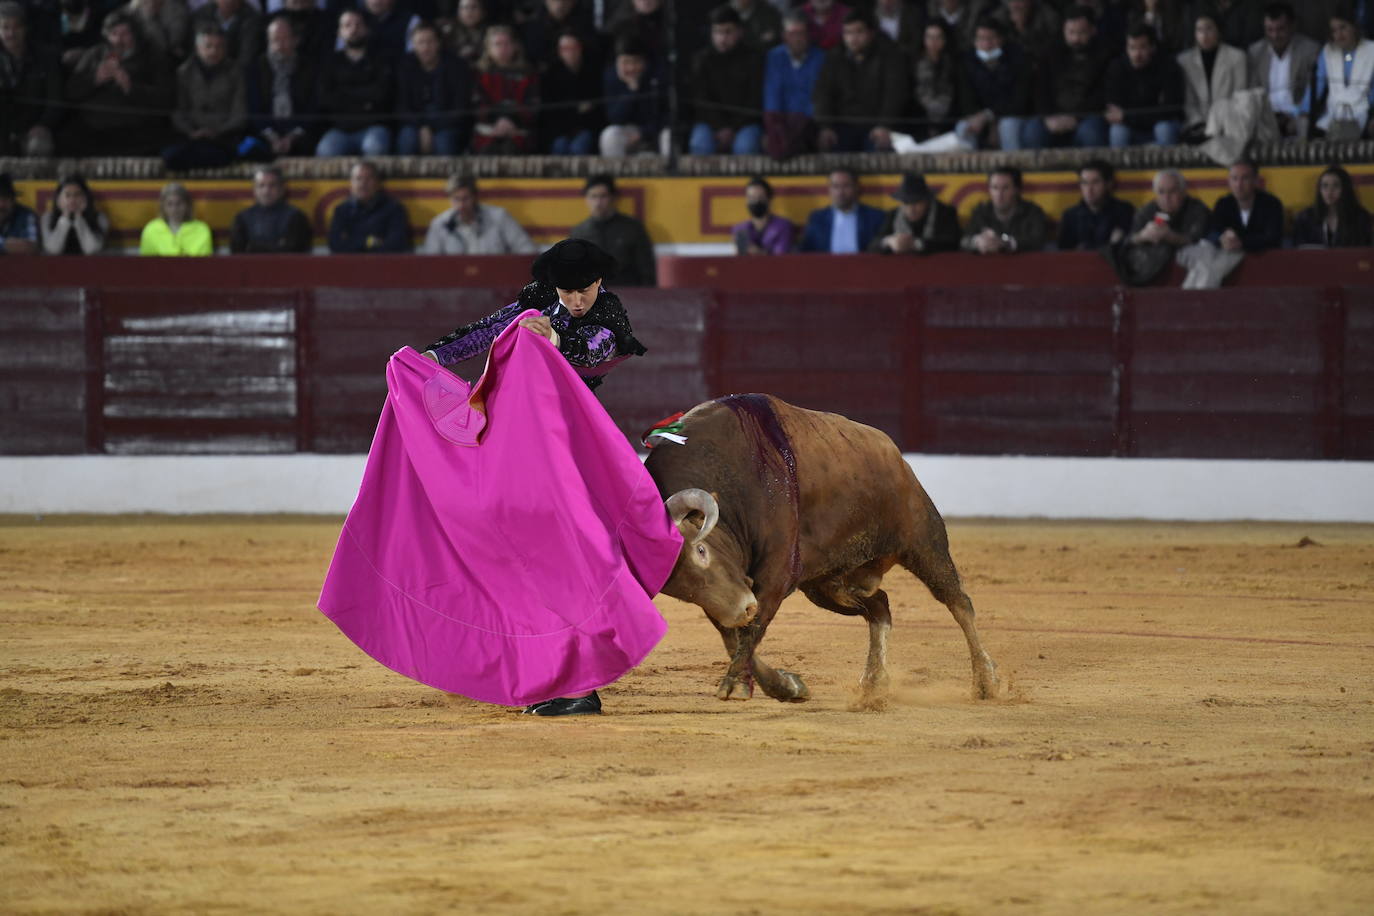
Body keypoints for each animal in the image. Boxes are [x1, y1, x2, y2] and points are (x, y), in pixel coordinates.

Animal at [643, 395, 1000, 703]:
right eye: (674, 585)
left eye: (701, 551)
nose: (743, 608)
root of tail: (893, 453)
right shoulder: (721, 597)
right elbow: (734, 636)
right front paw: (786, 686)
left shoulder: (775, 574)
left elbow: (753, 628)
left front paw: (736, 683)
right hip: (830, 584)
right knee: (880, 607)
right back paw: (874, 683)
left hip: (925, 541)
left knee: (958, 602)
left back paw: (986, 681)